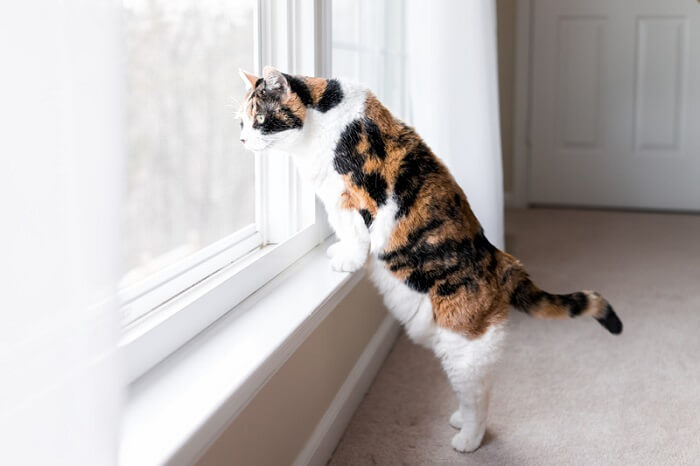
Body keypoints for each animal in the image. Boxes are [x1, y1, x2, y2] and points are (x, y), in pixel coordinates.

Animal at [238, 65, 620, 452]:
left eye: (259, 118)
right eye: (242, 121)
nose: (241, 140)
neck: (323, 119)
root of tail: (502, 261)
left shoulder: (352, 194)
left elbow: (355, 232)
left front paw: (347, 260)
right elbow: (343, 231)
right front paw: (338, 250)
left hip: (463, 345)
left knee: (479, 395)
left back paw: (468, 439)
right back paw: (459, 420)